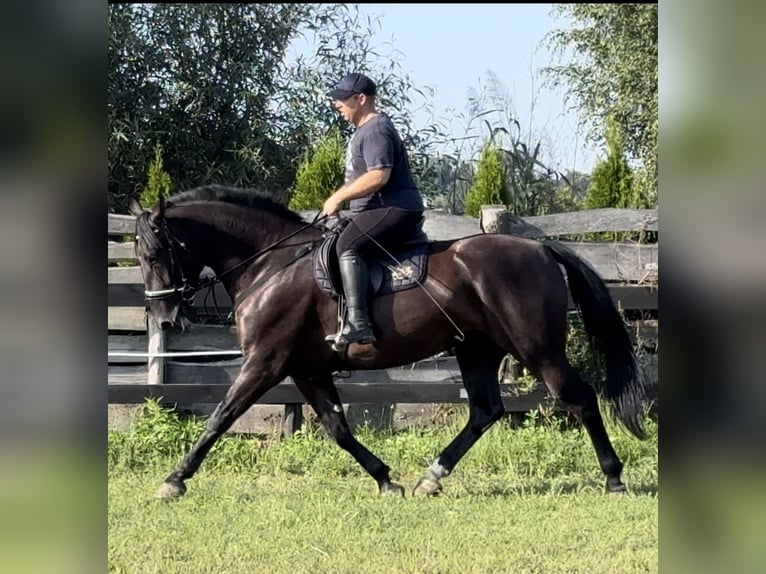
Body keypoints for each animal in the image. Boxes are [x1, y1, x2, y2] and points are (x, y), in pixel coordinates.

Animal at [130, 187, 648, 502]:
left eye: (154, 254)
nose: (165, 316)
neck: (271, 266)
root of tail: (540, 247)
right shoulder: (307, 369)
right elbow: (338, 429)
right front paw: (385, 480)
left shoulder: (266, 362)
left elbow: (219, 418)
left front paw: (174, 480)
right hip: (476, 349)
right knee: (485, 410)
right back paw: (430, 478)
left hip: (537, 349)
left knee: (580, 399)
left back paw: (613, 478)